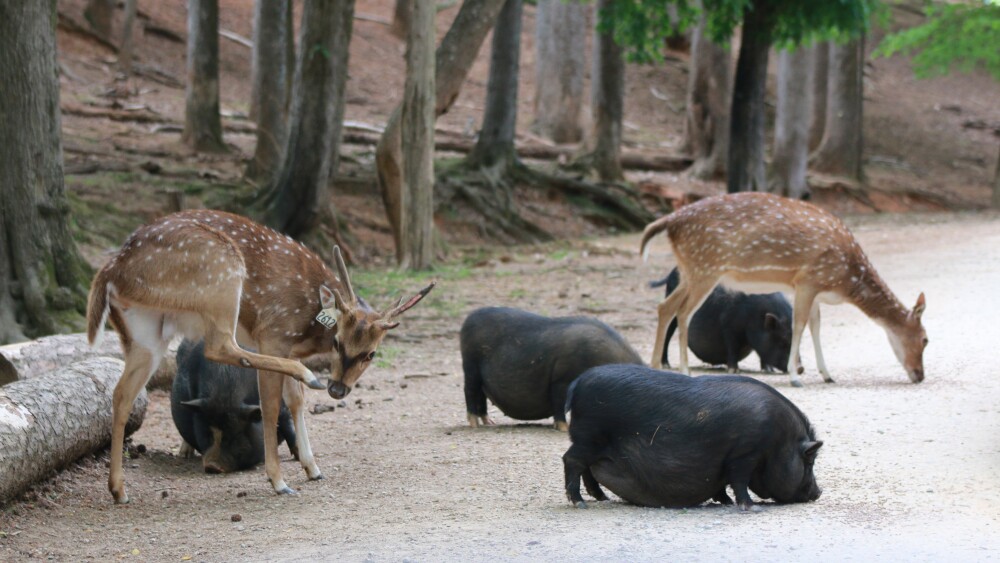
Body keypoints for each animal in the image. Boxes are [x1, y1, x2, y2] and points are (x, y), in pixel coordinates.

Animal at [171, 339, 297, 473]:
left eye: (234, 435)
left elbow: (287, 424)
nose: (212, 466)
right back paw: (184, 455)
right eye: (207, 434)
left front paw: (298, 458)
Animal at [461, 307, 643, 431]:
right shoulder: (561, 378)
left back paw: (489, 423)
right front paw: (564, 428)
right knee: (470, 391)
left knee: (481, 395)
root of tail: (469, 318)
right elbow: (559, 403)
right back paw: (475, 425)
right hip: (470, 364)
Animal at [563, 364, 823, 510]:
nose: (819, 492)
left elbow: (722, 482)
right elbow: (738, 480)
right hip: (589, 436)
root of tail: (576, 384)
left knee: (587, 468)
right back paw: (580, 503)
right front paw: (750, 507)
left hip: (590, 442)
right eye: (809, 462)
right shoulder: (745, 453)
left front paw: (726, 502)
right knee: (571, 460)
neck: (779, 441)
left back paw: (602, 498)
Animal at [650, 267, 794, 373]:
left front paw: (769, 370)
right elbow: (732, 347)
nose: (796, 369)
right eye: (782, 341)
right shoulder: (728, 325)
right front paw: (734, 371)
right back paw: (666, 365)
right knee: (667, 334)